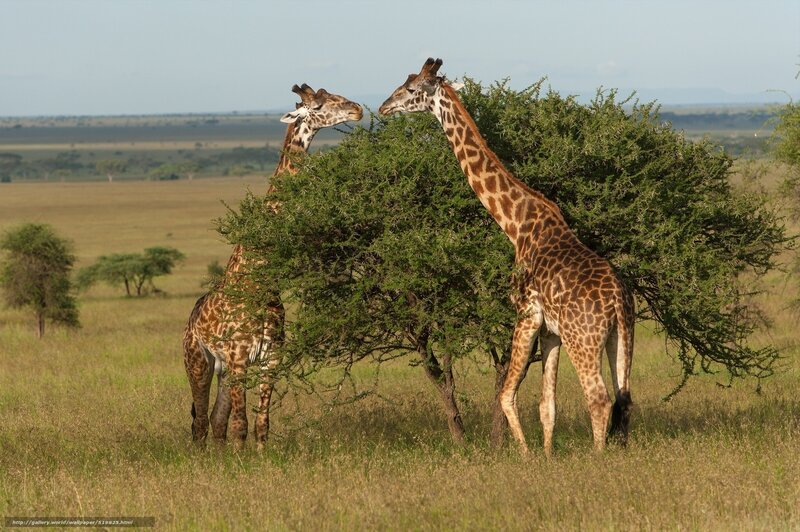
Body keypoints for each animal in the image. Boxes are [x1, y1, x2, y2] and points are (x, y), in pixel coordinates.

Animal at [183, 84, 362, 450]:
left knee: (215, 421)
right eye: (319, 104)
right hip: (198, 361)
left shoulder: (270, 357)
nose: (357, 110)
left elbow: (261, 423)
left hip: (222, 368)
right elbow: (241, 424)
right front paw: (243, 461)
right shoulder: (239, 357)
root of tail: (190, 321)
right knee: (200, 424)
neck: (261, 276)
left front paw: (261, 458)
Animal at [379, 58, 634, 456]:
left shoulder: (525, 314)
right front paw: (547, 456)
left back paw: (598, 458)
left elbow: (506, 394)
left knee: (599, 398)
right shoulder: (550, 331)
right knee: (624, 398)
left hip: (584, 338)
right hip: (621, 337)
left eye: (410, 90)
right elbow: (547, 404)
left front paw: (527, 456)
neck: (516, 225)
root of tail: (619, 301)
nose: (383, 107)